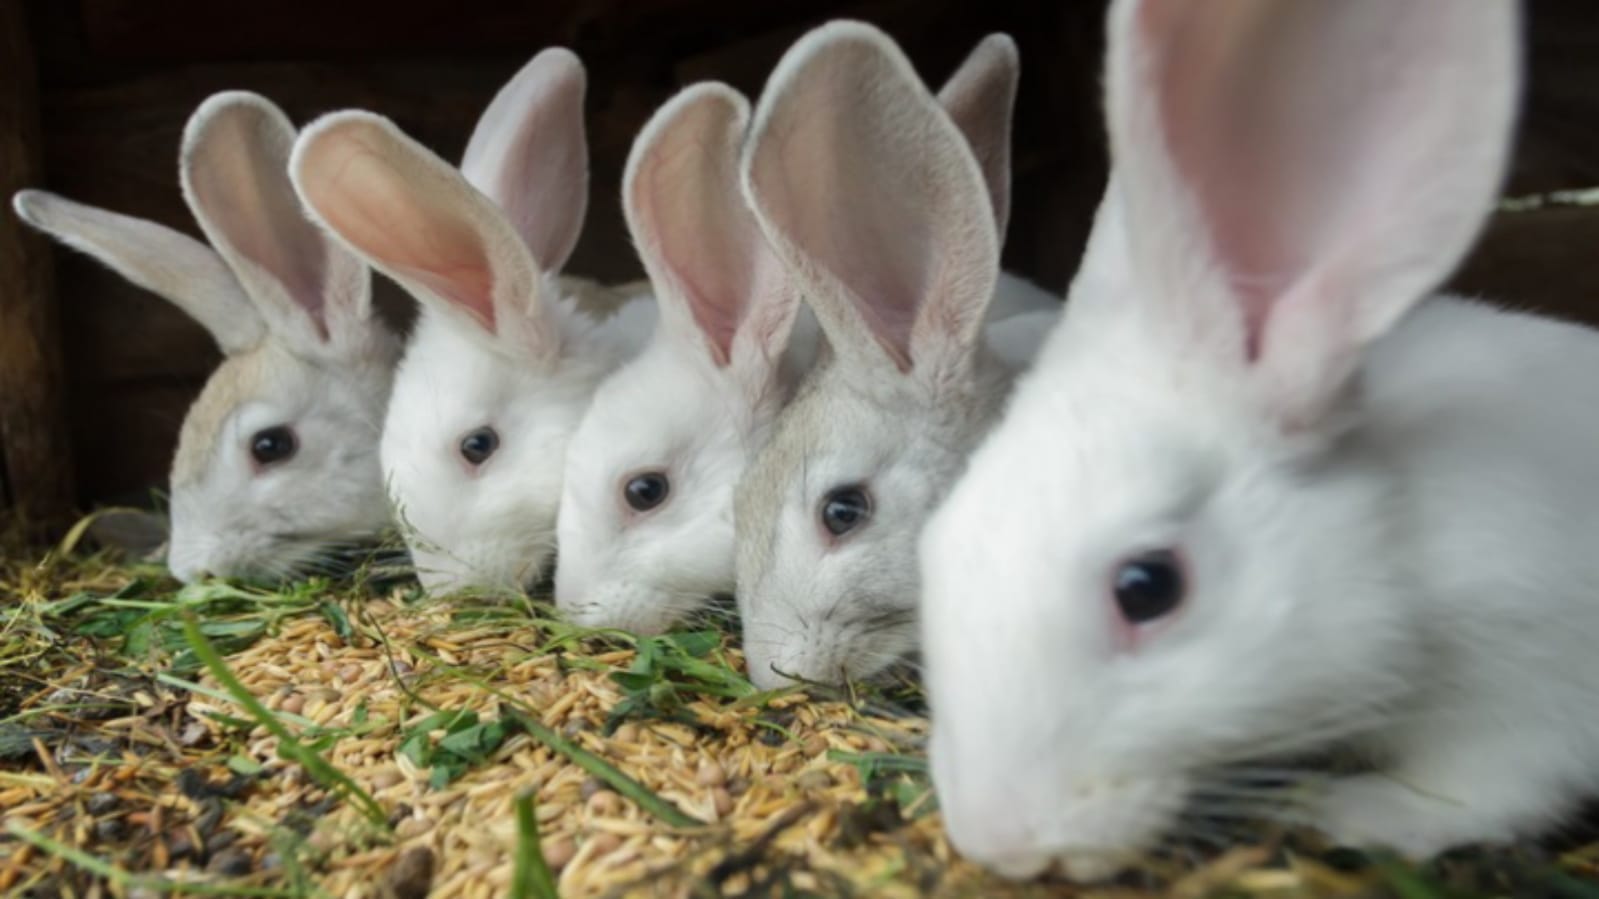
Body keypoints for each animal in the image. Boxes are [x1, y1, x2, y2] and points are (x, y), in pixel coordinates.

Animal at [913, 0, 1599, 883]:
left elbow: (1490, 784)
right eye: (937, 543)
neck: (1398, 539)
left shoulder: (1533, 685)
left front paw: (1359, 810)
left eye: (1147, 586)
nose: (999, 840)